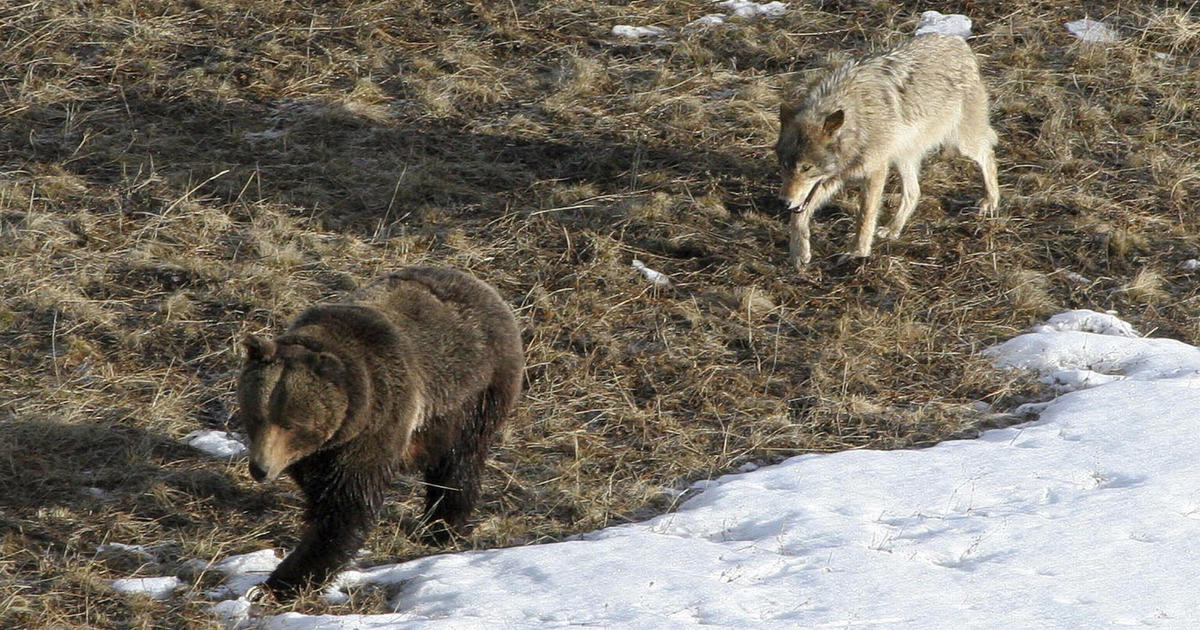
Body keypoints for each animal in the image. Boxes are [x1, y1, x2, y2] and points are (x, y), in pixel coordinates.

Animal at [238, 264, 525, 595]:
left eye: (290, 423)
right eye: (255, 416)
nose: (260, 468)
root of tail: (484, 287)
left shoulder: (377, 424)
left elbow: (346, 506)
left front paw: (286, 579)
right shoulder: (319, 453)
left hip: (474, 396)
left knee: (459, 463)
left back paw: (441, 526)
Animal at [772, 34, 998, 266]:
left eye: (806, 168)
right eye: (784, 165)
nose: (783, 201)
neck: (857, 123)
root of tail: (958, 41)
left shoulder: (875, 172)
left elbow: (865, 216)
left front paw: (858, 252)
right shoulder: (833, 179)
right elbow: (798, 216)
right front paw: (799, 252)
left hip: (961, 143)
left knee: (988, 154)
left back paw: (991, 200)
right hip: (902, 157)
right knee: (914, 192)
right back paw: (893, 230)